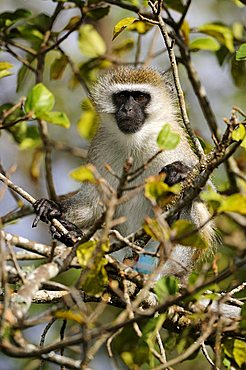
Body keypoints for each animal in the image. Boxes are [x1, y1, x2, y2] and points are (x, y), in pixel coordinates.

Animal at [33, 67, 213, 280]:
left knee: (190, 205)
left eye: (140, 97)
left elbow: (210, 194)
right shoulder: (101, 146)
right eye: (121, 97)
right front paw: (54, 208)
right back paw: (75, 237)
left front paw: (179, 173)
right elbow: (93, 202)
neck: (135, 141)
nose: (127, 109)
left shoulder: (173, 141)